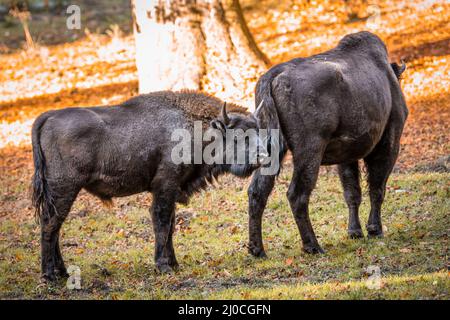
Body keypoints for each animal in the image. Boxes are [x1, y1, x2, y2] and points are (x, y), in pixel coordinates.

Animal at [32, 90, 268, 280]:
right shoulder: (165, 186)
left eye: (258, 131)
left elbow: (170, 225)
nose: (263, 156)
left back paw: (62, 272)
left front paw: (174, 264)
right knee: (50, 225)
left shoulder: (172, 190)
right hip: (64, 189)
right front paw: (163, 266)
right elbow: (162, 223)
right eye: (237, 137)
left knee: (54, 226)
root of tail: (47, 117)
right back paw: (50, 275)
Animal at [248, 31, 410, 258]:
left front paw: (355, 231)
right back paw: (313, 245)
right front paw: (374, 229)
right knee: (297, 194)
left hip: (271, 149)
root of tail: (271, 78)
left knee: (257, 192)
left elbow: (352, 193)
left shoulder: (347, 155)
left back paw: (257, 249)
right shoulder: (388, 143)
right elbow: (377, 189)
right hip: (309, 149)